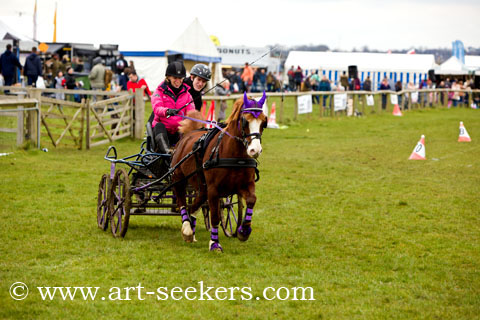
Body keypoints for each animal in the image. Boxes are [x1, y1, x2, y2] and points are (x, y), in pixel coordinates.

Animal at [172, 90, 270, 252]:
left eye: (264, 122)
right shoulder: (213, 190)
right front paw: (214, 243)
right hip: (178, 178)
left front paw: (243, 231)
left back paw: (191, 230)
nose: (255, 150)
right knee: (182, 201)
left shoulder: (244, 185)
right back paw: (187, 229)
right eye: (245, 121)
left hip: (202, 186)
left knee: (194, 206)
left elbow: (251, 200)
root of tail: (188, 135)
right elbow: (215, 217)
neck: (233, 154)